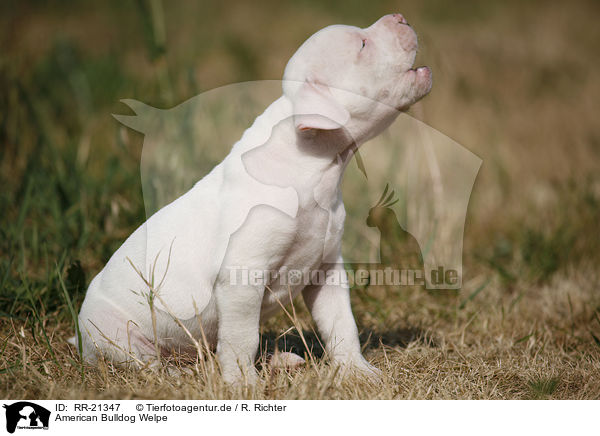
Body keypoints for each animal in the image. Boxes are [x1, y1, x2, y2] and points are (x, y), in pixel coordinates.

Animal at [74, 12, 432, 382]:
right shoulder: (242, 276)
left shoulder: (327, 269)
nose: (400, 16)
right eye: (362, 44)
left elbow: (340, 323)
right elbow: (241, 337)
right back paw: (178, 375)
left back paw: (279, 360)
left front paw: (358, 371)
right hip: (115, 334)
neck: (313, 165)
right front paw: (242, 383)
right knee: (147, 362)